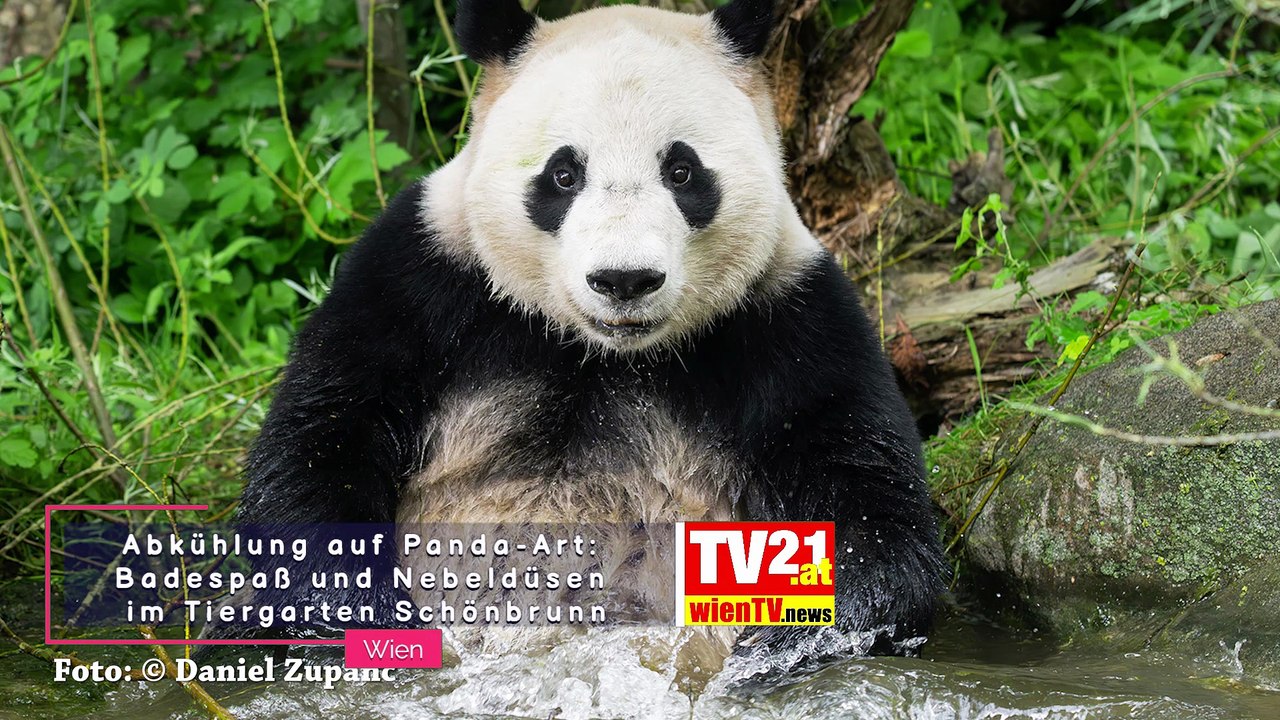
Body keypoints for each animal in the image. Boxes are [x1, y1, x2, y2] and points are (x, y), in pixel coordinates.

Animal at [236, 0, 944, 671]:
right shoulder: (422, 278)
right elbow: (323, 439)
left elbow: (868, 498)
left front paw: (780, 643)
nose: (624, 279)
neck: (603, 352)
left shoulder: (788, 316)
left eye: (682, 172)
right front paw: (377, 619)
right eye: (563, 174)